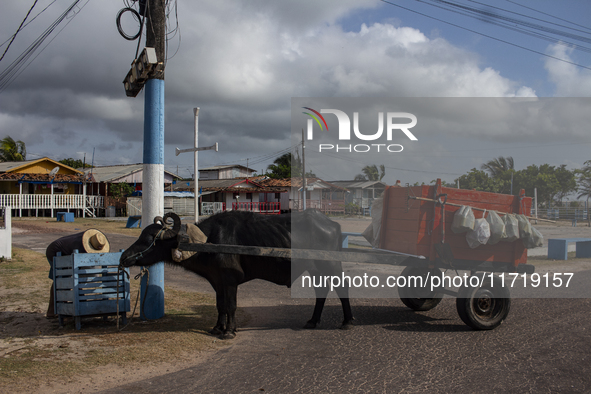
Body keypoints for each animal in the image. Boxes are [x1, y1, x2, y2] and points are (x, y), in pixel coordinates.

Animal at [118, 209, 354, 338]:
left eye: (150, 239)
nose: (124, 258)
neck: (208, 241)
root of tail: (332, 224)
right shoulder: (218, 282)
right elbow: (220, 305)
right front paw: (217, 328)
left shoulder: (230, 281)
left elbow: (231, 306)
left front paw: (229, 331)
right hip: (314, 268)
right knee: (321, 291)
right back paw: (312, 321)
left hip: (330, 265)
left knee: (342, 288)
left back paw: (347, 321)